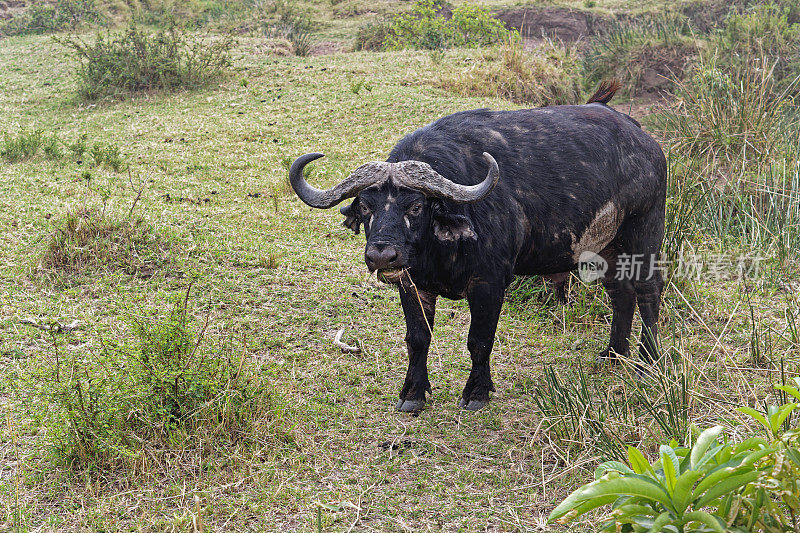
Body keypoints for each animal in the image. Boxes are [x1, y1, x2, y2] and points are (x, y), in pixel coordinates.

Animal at [290, 81, 664, 412]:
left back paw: (646, 362)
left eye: (416, 206)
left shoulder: (489, 283)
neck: (440, 251)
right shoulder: (412, 285)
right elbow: (417, 338)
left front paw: (477, 392)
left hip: (644, 233)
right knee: (620, 292)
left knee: (648, 291)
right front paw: (413, 393)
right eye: (366, 207)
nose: (382, 255)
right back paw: (612, 355)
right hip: (607, 247)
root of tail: (645, 141)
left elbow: (479, 340)